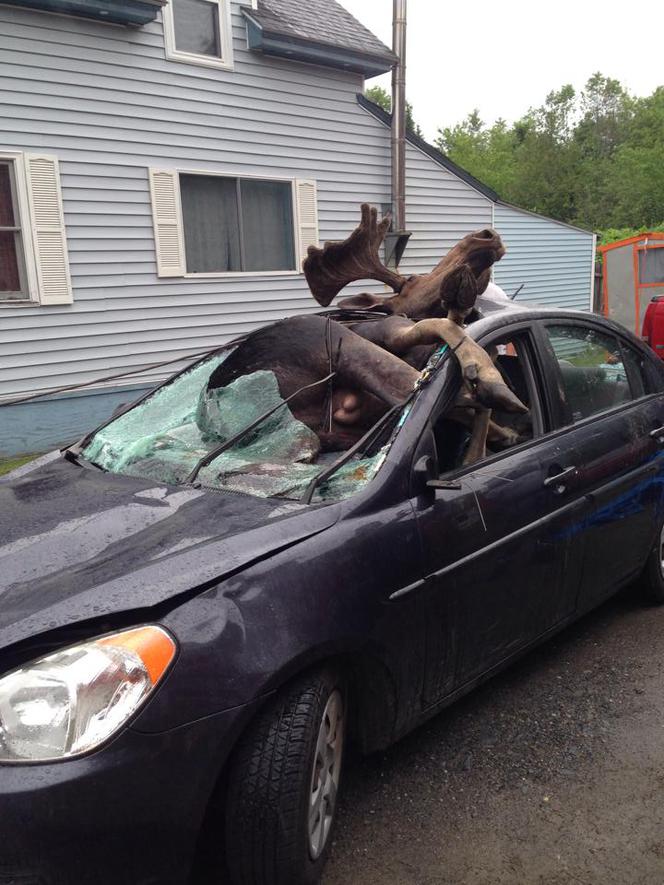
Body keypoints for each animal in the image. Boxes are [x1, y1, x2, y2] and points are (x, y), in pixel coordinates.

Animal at [209, 201, 528, 462]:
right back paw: (493, 389)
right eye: (414, 278)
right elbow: (437, 326)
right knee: (412, 385)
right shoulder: (392, 329)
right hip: (331, 341)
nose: (484, 237)